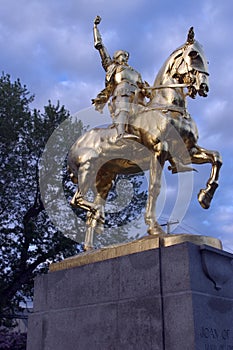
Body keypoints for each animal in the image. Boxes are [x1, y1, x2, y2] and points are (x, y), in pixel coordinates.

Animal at [67, 28, 222, 249]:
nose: (204, 87)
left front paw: (205, 197)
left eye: (207, 59)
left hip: (104, 179)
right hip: (87, 169)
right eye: (194, 55)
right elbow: (154, 188)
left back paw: (90, 248)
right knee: (77, 200)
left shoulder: (189, 150)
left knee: (89, 211)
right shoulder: (159, 150)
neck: (169, 107)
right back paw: (98, 217)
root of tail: (74, 146)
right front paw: (154, 228)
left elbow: (217, 158)